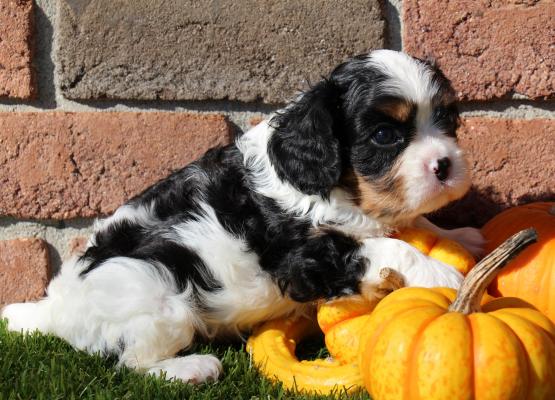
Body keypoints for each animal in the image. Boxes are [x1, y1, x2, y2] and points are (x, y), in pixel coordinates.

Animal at [2, 50, 482, 384]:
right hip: (153, 289)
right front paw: (442, 273)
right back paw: (191, 369)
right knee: (130, 362)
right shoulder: (303, 256)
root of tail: (56, 308)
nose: (445, 166)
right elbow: (385, 245)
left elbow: (411, 223)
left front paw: (462, 235)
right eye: (384, 135)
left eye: (447, 121)